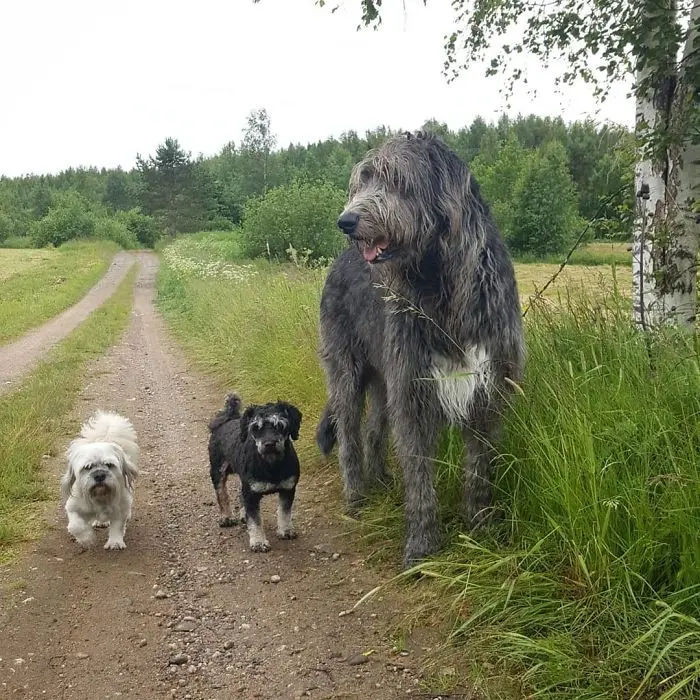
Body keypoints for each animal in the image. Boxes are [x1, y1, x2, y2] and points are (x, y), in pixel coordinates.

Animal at [59, 410, 139, 552]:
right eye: (87, 467)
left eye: (109, 465)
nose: (100, 475)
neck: (100, 496)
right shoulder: (73, 507)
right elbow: (76, 526)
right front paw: (87, 539)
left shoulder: (119, 508)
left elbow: (117, 526)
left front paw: (115, 542)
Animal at [211, 394, 304, 552]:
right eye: (255, 428)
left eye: (280, 425)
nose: (269, 444)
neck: (272, 465)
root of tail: (228, 419)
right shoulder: (251, 493)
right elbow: (255, 520)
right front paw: (259, 542)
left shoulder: (288, 489)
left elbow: (285, 512)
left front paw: (285, 530)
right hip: (218, 471)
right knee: (222, 494)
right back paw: (227, 517)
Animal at [314, 133, 524, 568]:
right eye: (362, 180)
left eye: (396, 178)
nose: (346, 222)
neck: (443, 288)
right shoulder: (412, 388)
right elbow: (420, 472)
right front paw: (422, 546)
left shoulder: (488, 387)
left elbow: (480, 467)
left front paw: (481, 527)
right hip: (347, 370)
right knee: (349, 432)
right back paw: (356, 496)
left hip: (383, 378)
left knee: (375, 429)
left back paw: (380, 481)